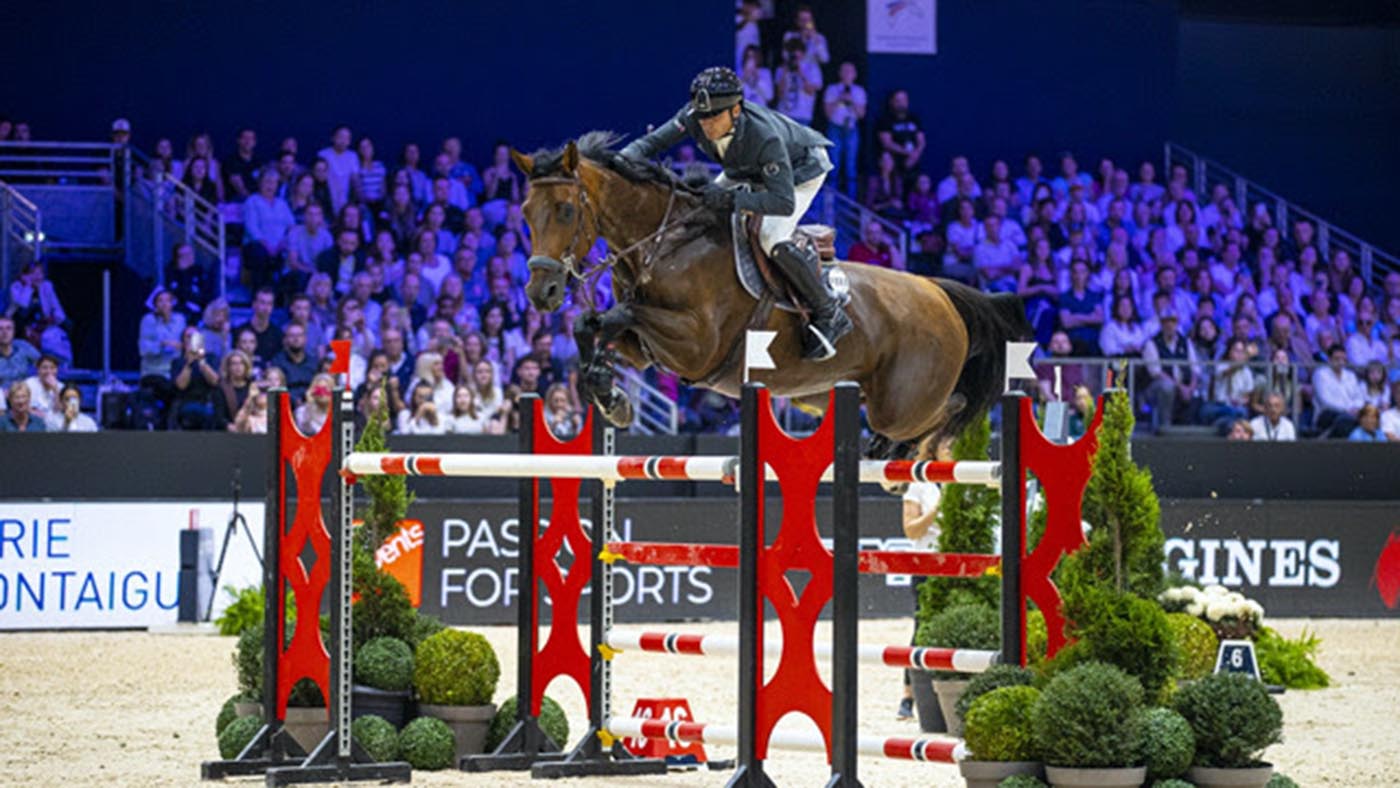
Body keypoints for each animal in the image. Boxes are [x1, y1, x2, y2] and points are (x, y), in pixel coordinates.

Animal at [506, 133, 1030, 459]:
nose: (540, 292)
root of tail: (940, 294)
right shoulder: (650, 349)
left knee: (951, 408)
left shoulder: (695, 345)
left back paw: (904, 450)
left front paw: (609, 392)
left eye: (566, 210)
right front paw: (609, 394)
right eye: (525, 212)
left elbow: (618, 315)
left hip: (902, 402)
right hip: (836, 396)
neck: (665, 243)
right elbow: (596, 325)